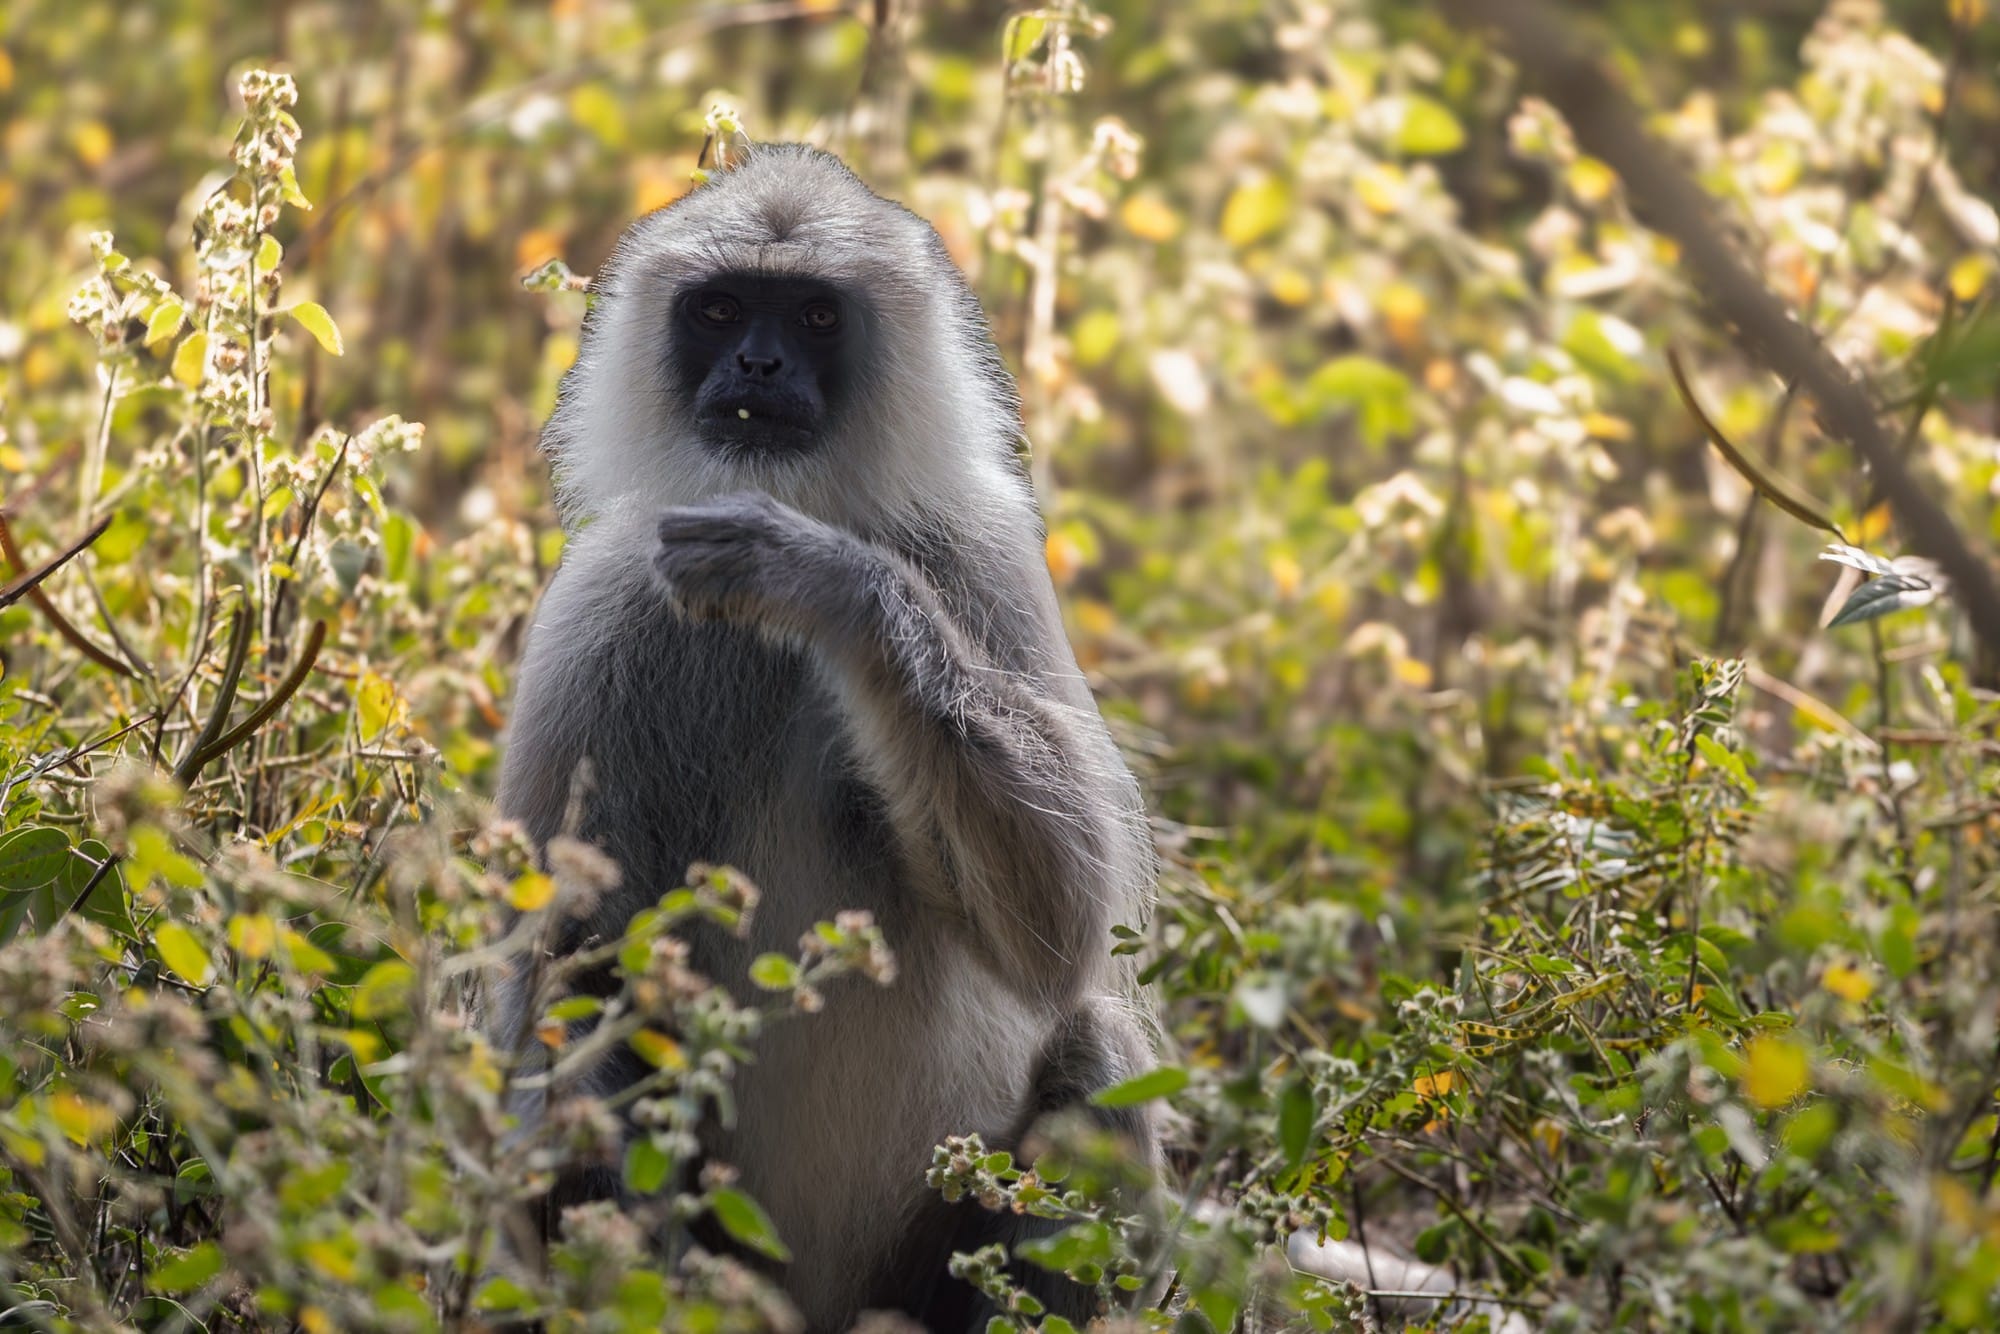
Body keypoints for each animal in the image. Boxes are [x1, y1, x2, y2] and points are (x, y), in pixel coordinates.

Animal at [491, 143, 1159, 1330]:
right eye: (719, 310)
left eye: (811, 315)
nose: (756, 364)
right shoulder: (602, 602)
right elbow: (574, 969)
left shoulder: (980, 551)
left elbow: (1060, 926)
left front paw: (827, 580)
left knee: (1098, 1045)